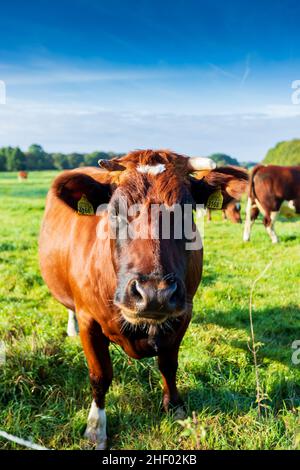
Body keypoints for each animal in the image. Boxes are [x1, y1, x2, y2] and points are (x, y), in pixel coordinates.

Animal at [38, 150, 247, 448]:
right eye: (114, 212)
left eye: (188, 213)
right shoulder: (90, 320)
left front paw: (175, 408)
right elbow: (100, 375)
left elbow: (168, 365)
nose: (154, 293)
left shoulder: (183, 315)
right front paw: (96, 428)